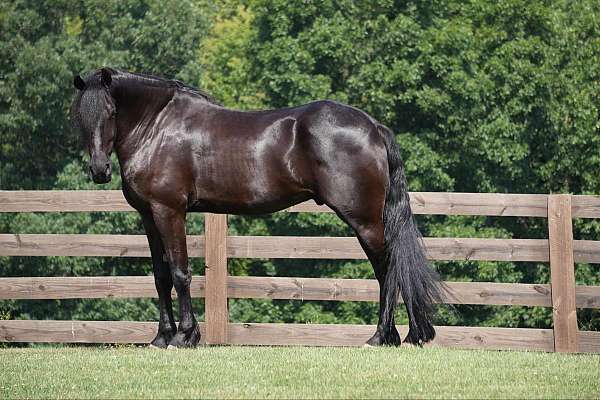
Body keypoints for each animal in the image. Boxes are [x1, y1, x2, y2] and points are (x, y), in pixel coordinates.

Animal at [71, 68, 440, 346]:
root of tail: (373, 127)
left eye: (111, 112)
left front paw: (185, 337)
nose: (99, 170)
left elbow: (180, 273)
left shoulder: (169, 211)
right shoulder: (148, 215)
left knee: (388, 270)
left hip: (365, 221)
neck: (158, 128)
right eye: (80, 116)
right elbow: (161, 276)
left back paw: (382, 337)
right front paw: (161, 338)